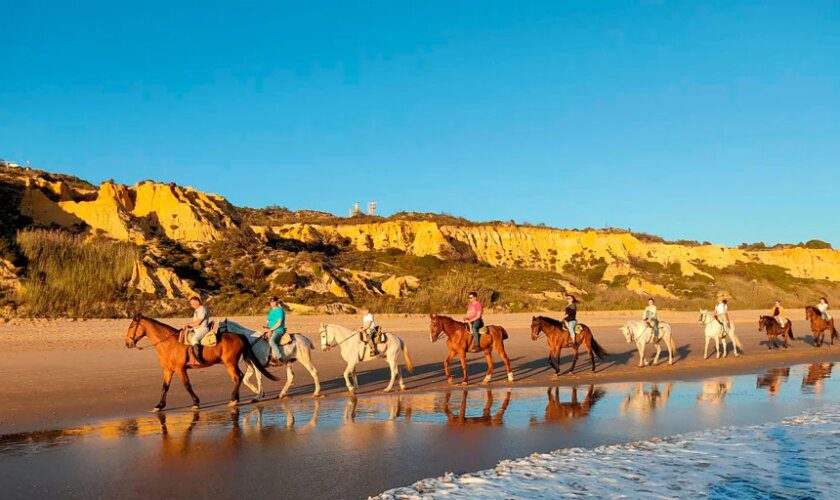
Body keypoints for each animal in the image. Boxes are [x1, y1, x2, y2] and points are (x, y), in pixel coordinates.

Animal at [124, 314, 278, 412]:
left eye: (132, 326)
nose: (127, 343)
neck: (168, 343)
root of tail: (239, 335)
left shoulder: (180, 369)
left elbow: (187, 385)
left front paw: (196, 403)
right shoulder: (168, 370)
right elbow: (164, 387)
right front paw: (159, 405)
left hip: (230, 363)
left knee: (237, 377)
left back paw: (233, 399)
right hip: (231, 363)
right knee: (238, 377)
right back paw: (236, 398)